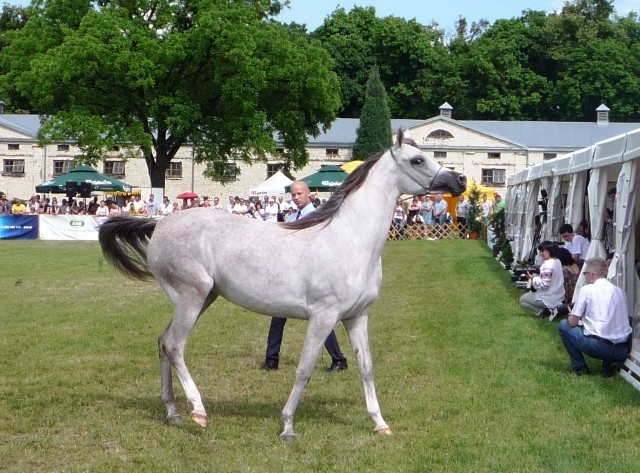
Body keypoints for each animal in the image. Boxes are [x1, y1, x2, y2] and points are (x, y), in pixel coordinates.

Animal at [99, 129, 464, 438]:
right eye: (417, 160)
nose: (458, 180)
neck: (349, 240)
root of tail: (159, 224)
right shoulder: (324, 317)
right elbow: (304, 369)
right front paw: (288, 425)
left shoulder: (356, 317)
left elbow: (366, 367)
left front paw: (380, 424)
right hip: (191, 297)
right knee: (175, 345)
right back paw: (198, 411)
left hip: (202, 299)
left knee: (163, 342)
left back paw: (173, 412)